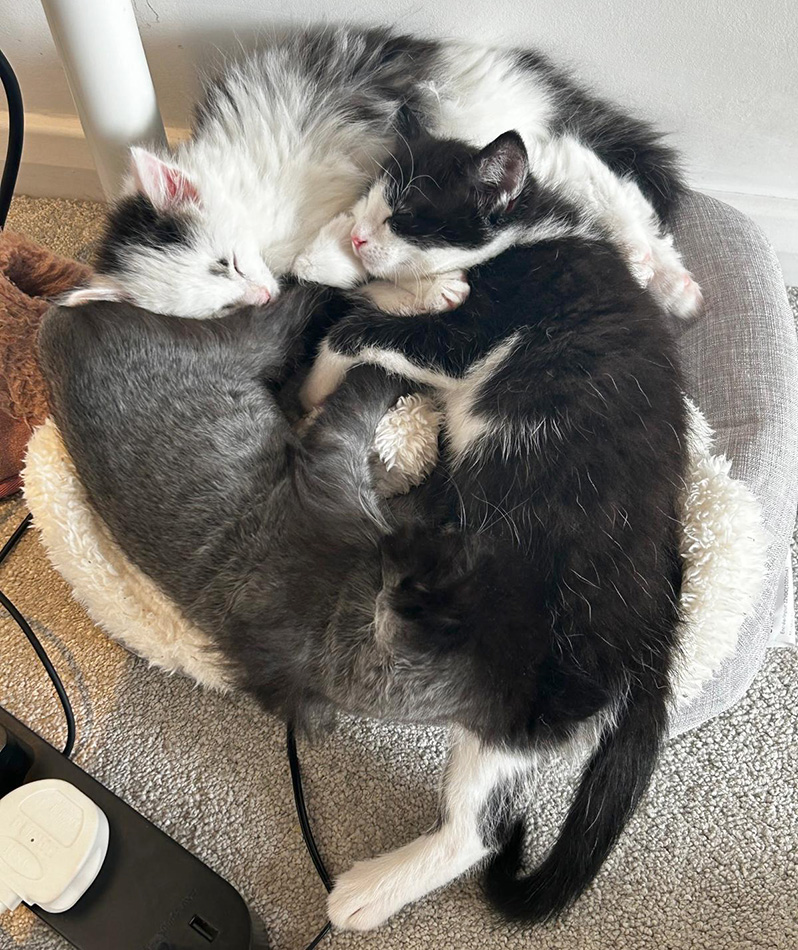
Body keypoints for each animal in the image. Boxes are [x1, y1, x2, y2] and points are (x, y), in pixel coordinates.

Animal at [62, 23, 692, 316]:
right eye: (225, 306)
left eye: (228, 263)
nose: (262, 297)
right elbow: (351, 271)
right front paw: (429, 288)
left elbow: (335, 251)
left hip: (491, 122)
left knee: (602, 175)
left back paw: (660, 271)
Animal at [300, 130, 688, 932]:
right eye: (371, 202)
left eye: (407, 213)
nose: (361, 234)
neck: (530, 232)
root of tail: (654, 636)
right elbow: (375, 302)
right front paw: (376, 276)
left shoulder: (485, 326)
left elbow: (363, 328)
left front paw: (315, 385)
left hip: (528, 686)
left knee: (479, 828)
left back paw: (367, 892)